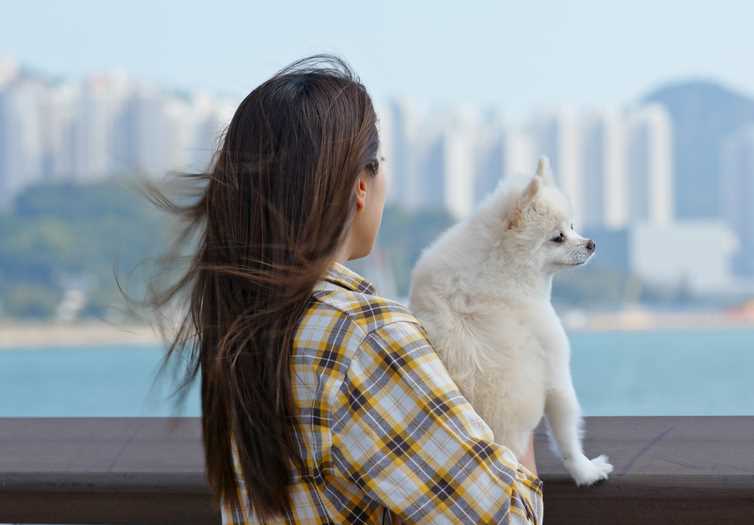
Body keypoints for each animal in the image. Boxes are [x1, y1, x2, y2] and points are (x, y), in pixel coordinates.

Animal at [412, 158, 612, 486]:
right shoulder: (555, 368)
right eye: (558, 237)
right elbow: (567, 437)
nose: (591, 243)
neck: (499, 265)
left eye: (571, 227)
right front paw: (587, 471)